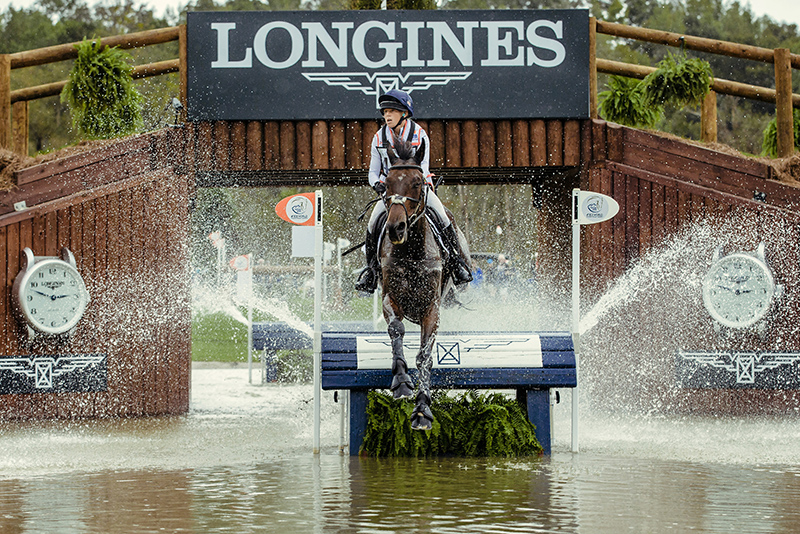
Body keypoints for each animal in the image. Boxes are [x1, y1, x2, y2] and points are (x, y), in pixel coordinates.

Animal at [380, 137, 472, 432]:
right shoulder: (390, 299)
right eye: (387, 182)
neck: (411, 250)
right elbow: (396, 329)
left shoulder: (431, 309)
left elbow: (425, 355)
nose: (396, 228)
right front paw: (401, 383)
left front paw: (422, 410)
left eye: (418, 182)